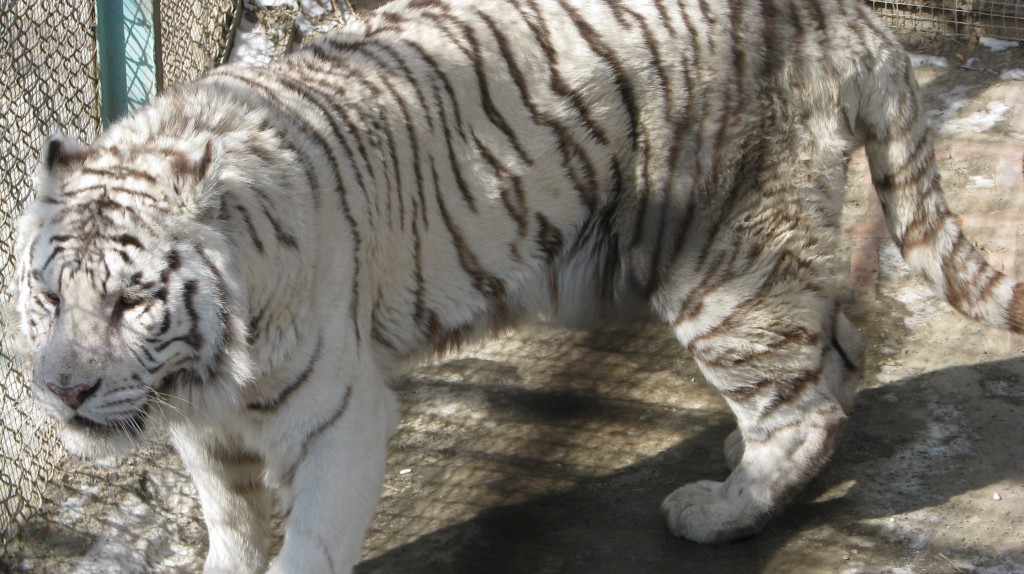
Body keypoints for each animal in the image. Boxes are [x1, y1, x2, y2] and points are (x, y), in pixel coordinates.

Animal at [9, 0, 1024, 568]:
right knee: (838, 348)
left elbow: (309, 543)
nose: (63, 392)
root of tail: (847, 18)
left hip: (725, 262)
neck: (208, 372)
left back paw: (718, 512)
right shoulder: (211, 434)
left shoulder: (337, 415)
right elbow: (230, 526)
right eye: (50, 299)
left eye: (133, 301)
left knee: (803, 396)